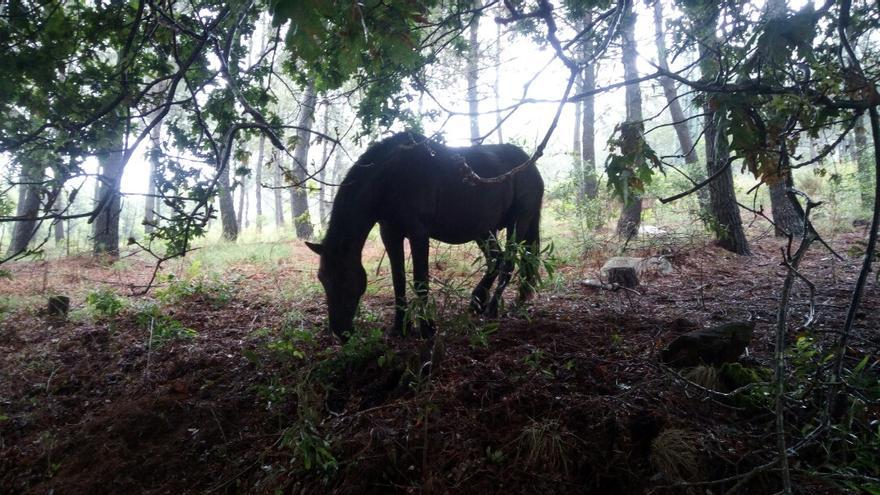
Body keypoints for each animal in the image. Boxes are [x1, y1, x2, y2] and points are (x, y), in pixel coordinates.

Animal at [308, 132, 544, 340]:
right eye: (322, 278)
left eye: (344, 278)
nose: (340, 332)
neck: (391, 177)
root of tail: (530, 165)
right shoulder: (390, 234)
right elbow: (398, 280)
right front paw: (400, 328)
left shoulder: (418, 234)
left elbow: (420, 280)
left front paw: (427, 328)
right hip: (485, 230)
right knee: (496, 259)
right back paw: (478, 301)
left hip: (518, 223)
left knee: (508, 263)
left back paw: (492, 310)